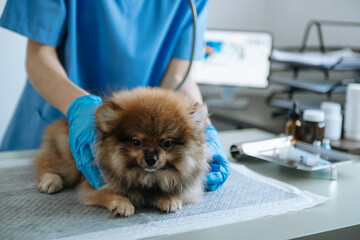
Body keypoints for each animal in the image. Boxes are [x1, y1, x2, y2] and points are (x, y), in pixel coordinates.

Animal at [34, 88, 208, 218]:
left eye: (167, 143)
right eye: (136, 142)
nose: (150, 158)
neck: (146, 177)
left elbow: (178, 192)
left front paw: (170, 199)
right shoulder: (94, 187)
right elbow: (109, 194)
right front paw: (122, 203)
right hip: (68, 159)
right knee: (45, 164)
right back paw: (50, 180)